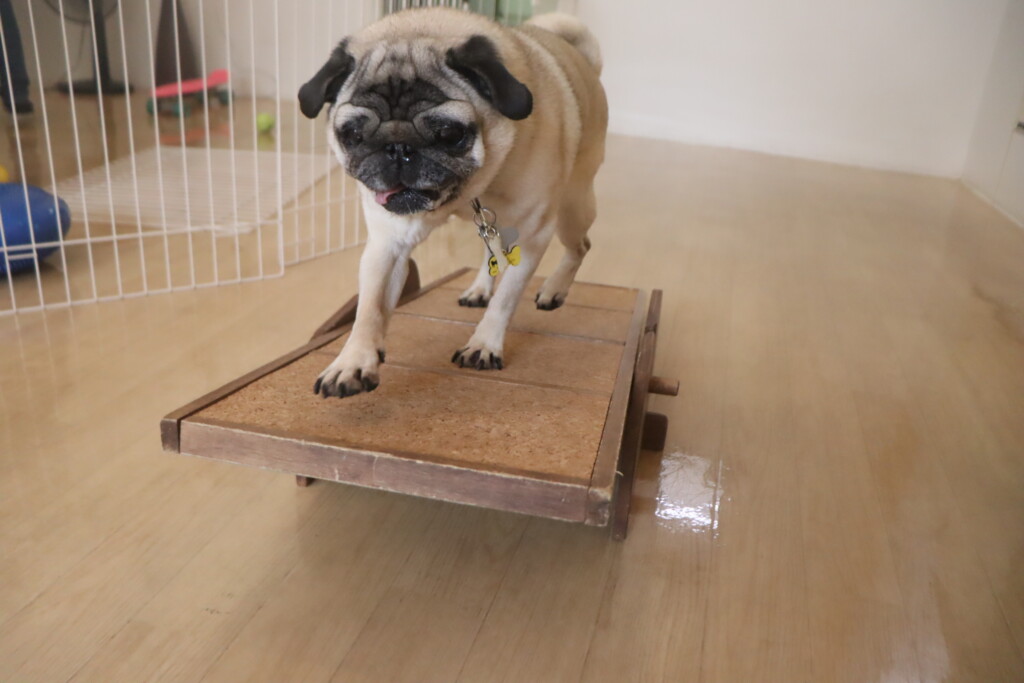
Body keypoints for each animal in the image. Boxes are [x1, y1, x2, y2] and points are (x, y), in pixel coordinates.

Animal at [299, 8, 607, 398]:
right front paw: (353, 360)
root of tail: (586, 62)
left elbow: (506, 298)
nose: (397, 148)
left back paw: (554, 290)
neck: (468, 192)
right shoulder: (388, 243)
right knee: (493, 251)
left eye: (449, 134)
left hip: (572, 207)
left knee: (580, 246)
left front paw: (484, 344)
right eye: (352, 135)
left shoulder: (533, 236)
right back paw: (479, 288)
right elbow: (369, 307)